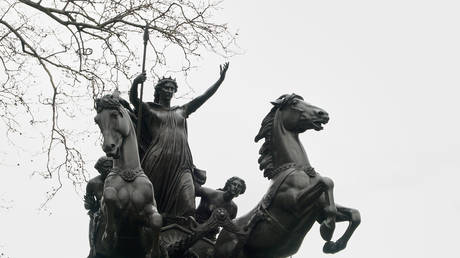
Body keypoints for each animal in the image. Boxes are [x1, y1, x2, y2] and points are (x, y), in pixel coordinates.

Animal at [94, 92, 163, 258]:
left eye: (114, 114)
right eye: (97, 121)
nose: (108, 147)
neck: (128, 173)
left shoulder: (147, 208)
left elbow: (157, 219)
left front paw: (155, 251)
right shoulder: (106, 203)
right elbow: (110, 195)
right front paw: (109, 235)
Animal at [214, 93, 362, 256]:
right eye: (295, 102)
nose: (323, 114)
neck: (298, 169)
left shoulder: (319, 208)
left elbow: (355, 214)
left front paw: (334, 245)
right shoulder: (295, 204)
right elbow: (327, 182)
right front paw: (327, 229)